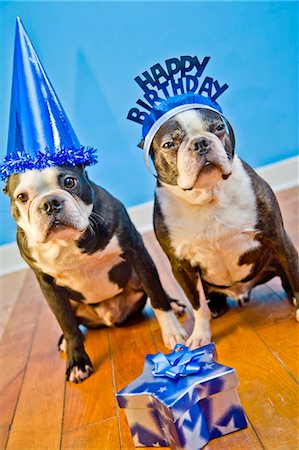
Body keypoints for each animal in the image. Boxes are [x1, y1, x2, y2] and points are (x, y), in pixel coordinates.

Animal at [4, 165, 188, 384]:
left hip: (137, 275)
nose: (50, 203)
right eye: (22, 197)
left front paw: (173, 332)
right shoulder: (48, 286)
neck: (67, 242)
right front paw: (77, 362)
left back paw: (174, 304)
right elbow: (67, 323)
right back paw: (64, 341)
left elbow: (157, 296)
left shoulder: (136, 253)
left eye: (69, 182)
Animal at [144, 108, 299, 348]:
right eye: (169, 144)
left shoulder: (277, 238)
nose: (201, 143)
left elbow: (294, 273)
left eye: (218, 128)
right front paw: (200, 335)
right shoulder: (181, 267)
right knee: (209, 298)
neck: (209, 197)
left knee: (286, 275)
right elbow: (197, 306)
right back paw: (216, 306)